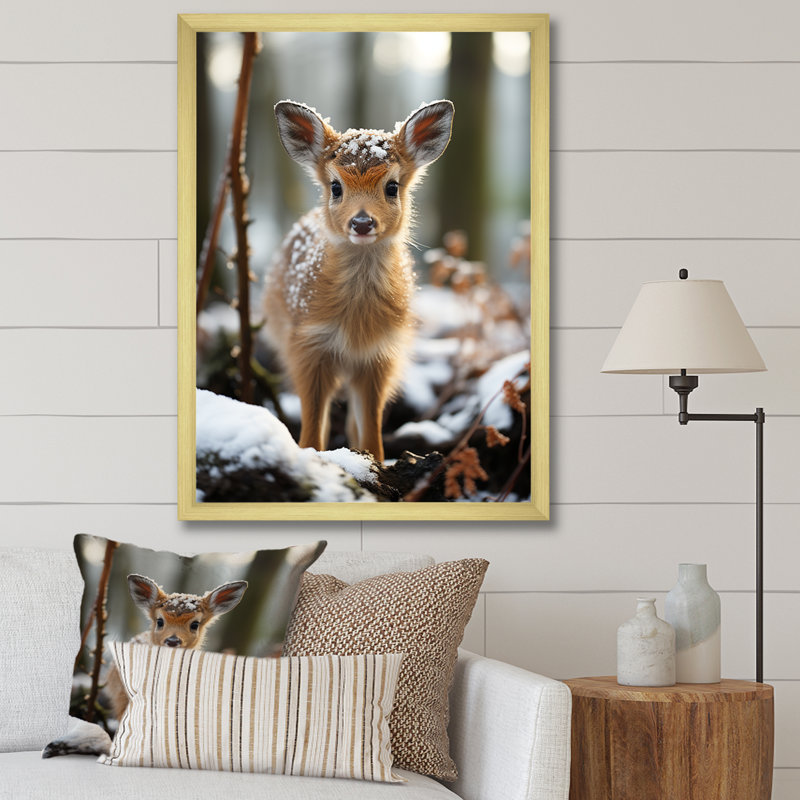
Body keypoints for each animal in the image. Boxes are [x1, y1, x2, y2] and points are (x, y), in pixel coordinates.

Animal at [264, 99, 455, 462]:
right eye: (336, 186)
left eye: (392, 186)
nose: (362, 222)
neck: (356, 324)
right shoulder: (306, 345)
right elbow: (312, 428)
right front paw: (314, 461)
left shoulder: (380, 356)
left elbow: (371, 427)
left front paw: (375, 464)